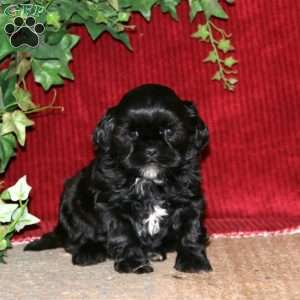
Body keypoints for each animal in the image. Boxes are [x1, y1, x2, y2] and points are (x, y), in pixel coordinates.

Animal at [24, 84, 212, 274]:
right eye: (132, 133)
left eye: (169, 131)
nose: (151, 150)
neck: (148, 181)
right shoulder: (112, 205)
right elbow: (123, 233)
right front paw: (134, 263)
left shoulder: (189, 198)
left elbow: (191, 229)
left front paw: (193, 260)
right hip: (71, 199)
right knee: (77, 237)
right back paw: (89, 251)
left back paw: (155, 252)